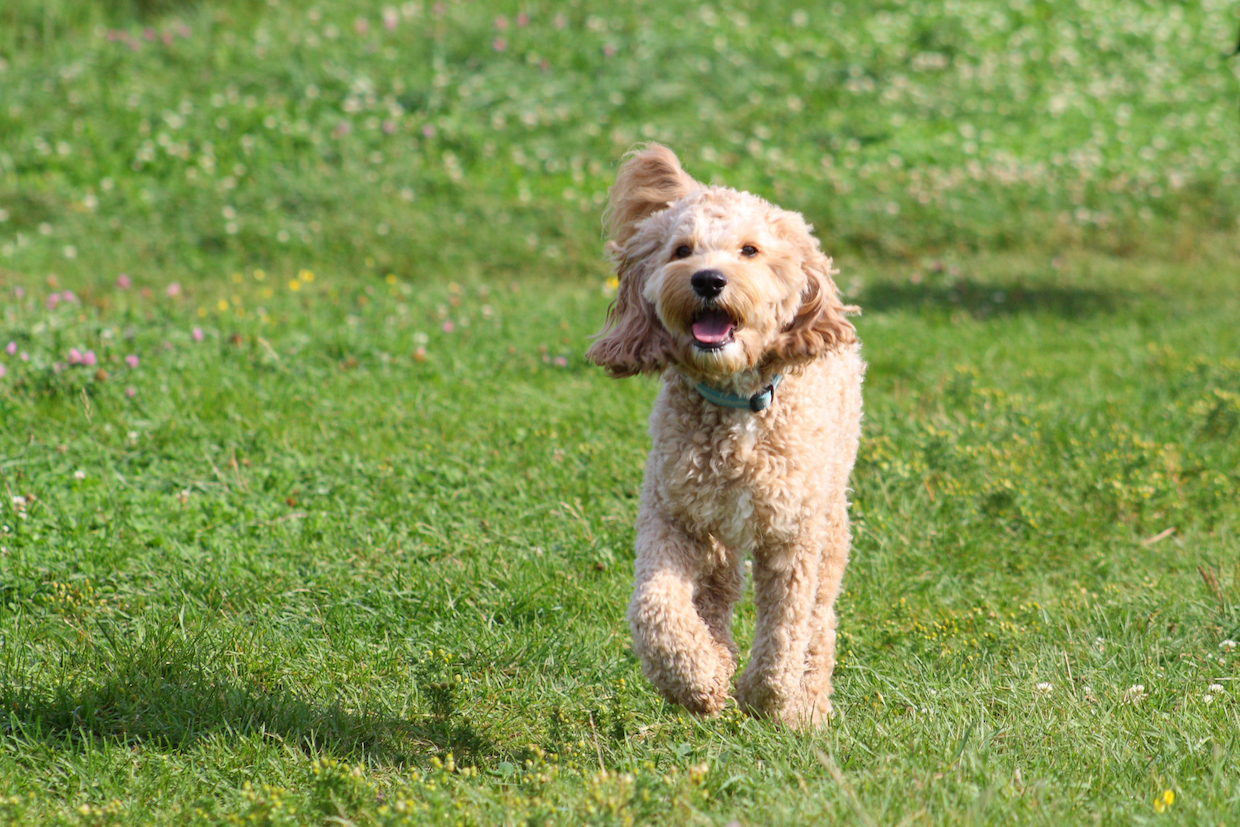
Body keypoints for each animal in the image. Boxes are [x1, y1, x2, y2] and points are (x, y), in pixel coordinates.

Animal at [587, 145, 863, 729]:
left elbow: (786, 628)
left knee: (819, 616)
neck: (736, 405)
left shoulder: (792, 536)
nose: (708, 280)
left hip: (829, 514)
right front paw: (699, 680)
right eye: (681, 250)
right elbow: (654, 607)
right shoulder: (672, 516)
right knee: (716, 592)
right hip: (717, 534)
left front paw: (768, 698)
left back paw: (809, 703)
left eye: (750, 250)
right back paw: (715, 651)